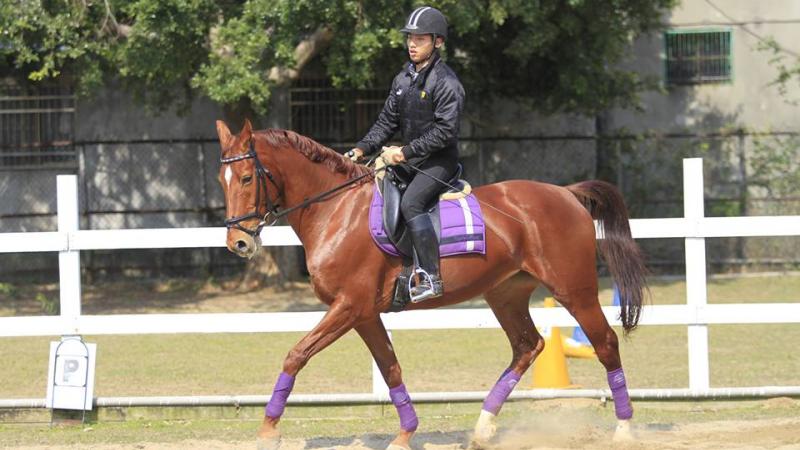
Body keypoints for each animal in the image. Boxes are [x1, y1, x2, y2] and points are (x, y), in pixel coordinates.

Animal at [216, 120, 648, 450]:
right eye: (223, 181)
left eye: (247, 177)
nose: (238, 243)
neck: (336, 211)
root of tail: (565, 193)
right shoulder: (364, 314)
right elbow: (390, 368)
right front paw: (405, 434)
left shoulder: (349, 306)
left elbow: (296, 354)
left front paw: (268, 430)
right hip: (505, 294)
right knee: (528, 346)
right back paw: (483, 428)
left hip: (574, 290)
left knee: (605, 343)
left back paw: (625, 430)